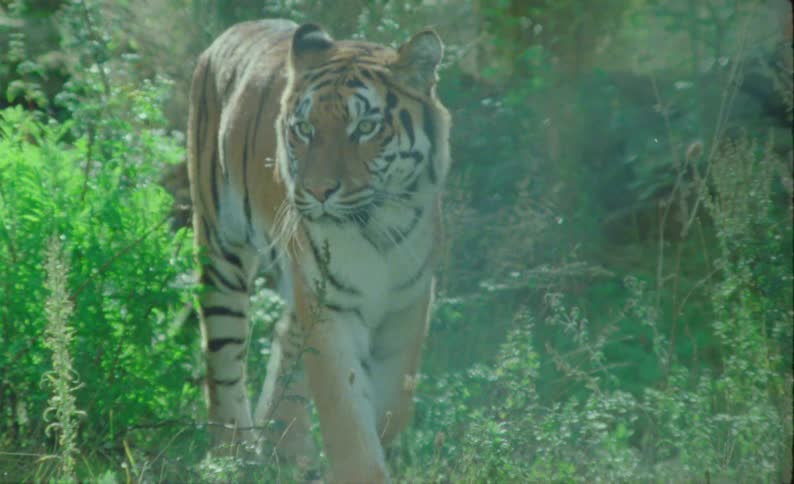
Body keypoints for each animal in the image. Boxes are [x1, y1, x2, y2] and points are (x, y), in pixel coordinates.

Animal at [187, 18, 451, 483]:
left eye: (365, 128)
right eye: (305, 130)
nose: (316, 191)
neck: (377, 227)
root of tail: (229, 33)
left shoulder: (409, 303)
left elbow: (393, 402)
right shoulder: (331, 307)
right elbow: (346, 415)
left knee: (286, 340)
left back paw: (288, 451)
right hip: (221, 249)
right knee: (223, 354)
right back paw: (232, 455)